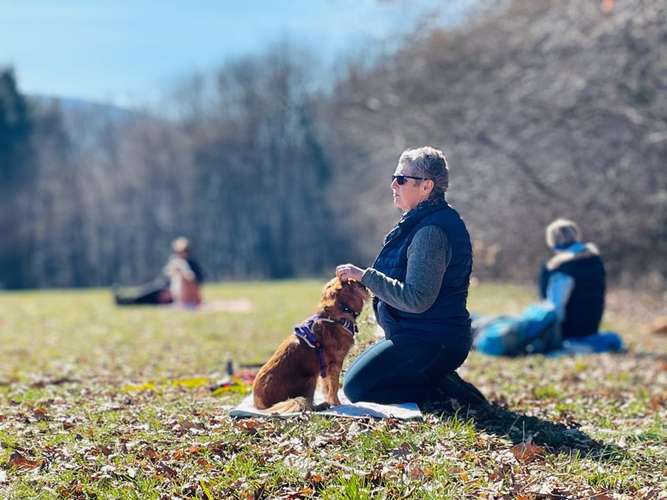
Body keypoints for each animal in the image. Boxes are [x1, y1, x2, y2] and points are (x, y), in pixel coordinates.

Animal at [254, 278, 370, 414]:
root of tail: (260, 404)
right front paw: (337, 403)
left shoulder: (325, 368)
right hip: (310, 378)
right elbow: (334, 386)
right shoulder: (335, 363)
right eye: (352, 281)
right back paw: (322, 405)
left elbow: (327, 387)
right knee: (307, 405)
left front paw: (331, 400)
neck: (340, 309)